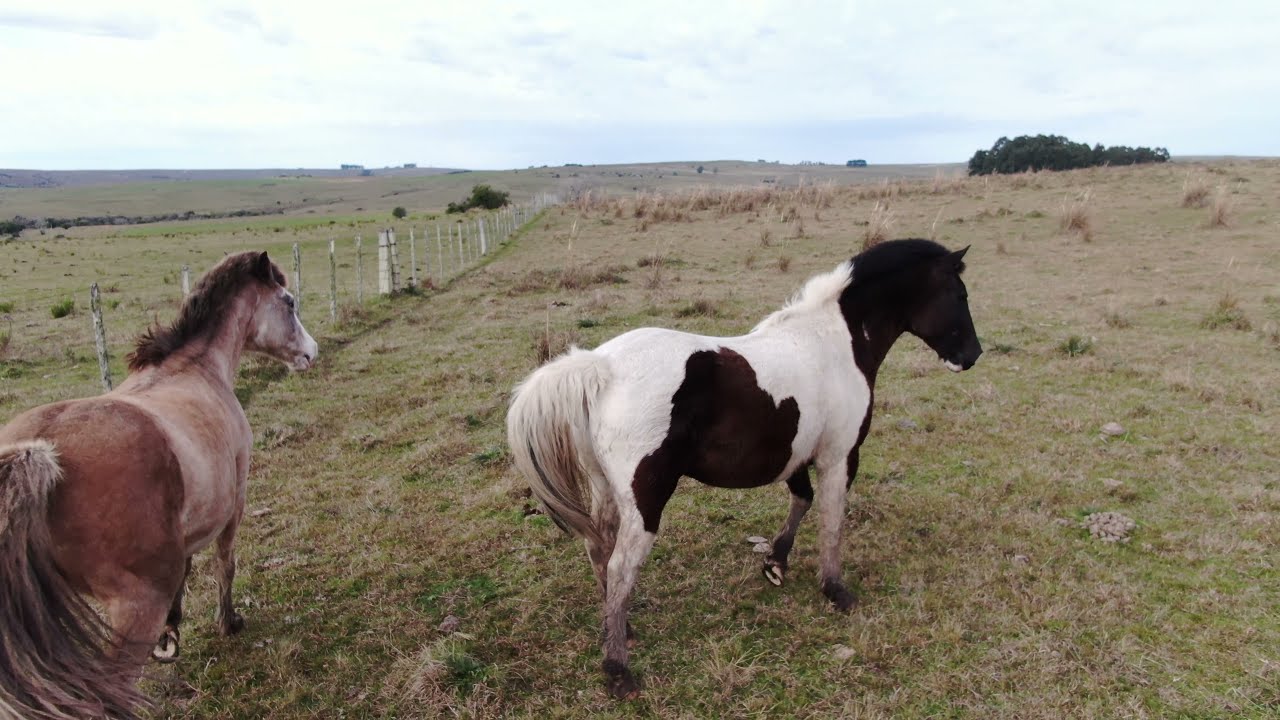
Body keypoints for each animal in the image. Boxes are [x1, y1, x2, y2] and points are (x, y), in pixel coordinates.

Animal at [0, 251, 317, 719]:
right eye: (289, 301)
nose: (311, 352)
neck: (193, 370)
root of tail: (36, 455)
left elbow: (187, 571)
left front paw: (174, 628)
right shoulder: (236, 501)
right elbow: (225, 563)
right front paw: (228, 622)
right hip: (136, 608)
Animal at [507, 238, 982, 698]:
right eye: (959, 294)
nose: (972, 355)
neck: (834, 342)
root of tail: (600, 366)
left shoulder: (797, 455)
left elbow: (803, 500)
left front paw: (776, 562)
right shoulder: (840, 456)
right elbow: (832, 522)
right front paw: (835, 590)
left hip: (606, 490)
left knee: (599, 552)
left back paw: (621, 629)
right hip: (646, 501)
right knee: (621, 566)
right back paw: (618, 669)